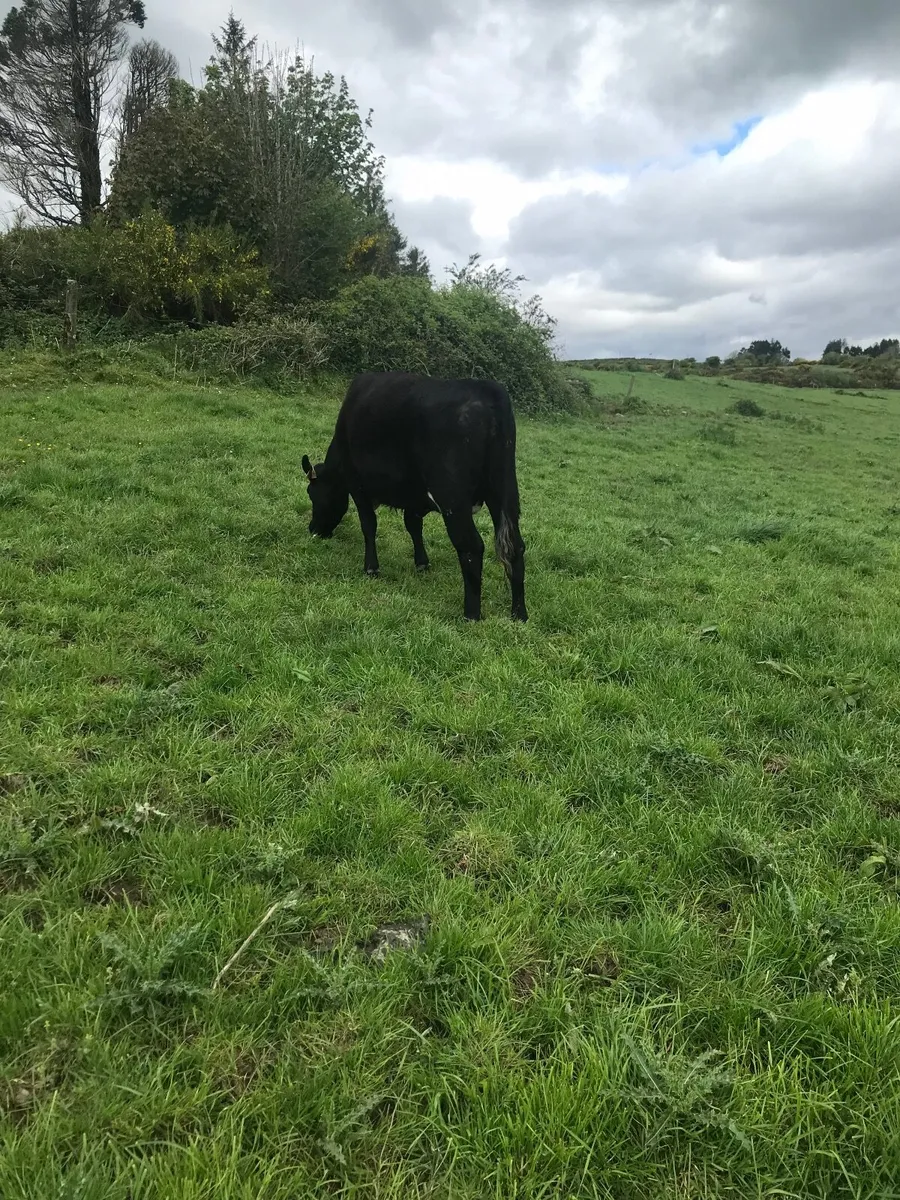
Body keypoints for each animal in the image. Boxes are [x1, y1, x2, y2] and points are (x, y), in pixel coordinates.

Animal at [301, 371, 527, 622]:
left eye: (312, 494)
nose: (314, 529)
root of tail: (486, 388)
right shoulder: (415, 497)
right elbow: (413, 526)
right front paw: (422, 563)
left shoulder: (357, 485)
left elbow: (369, 525)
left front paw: (371, 567)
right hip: (504, 492)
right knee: (514, 546)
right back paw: (519, 614)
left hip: (453, 499)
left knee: (471, 547)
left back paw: (471, 615)